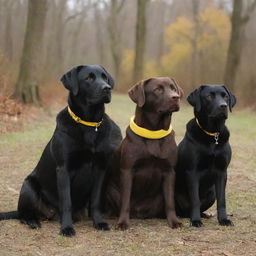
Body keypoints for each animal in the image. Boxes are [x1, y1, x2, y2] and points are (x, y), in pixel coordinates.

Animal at [0, 64, 122, 236]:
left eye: (104, 77)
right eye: (88, 78)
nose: (107, 88)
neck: (89, 123)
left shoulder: (101, 168)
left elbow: (96, 200)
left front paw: (99, 222)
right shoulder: (63, 168)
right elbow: (66, 201)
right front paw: (66, 228)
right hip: (28, 186)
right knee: (24, 214)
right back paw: (32, 221)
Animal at [105, 76, 183, 230]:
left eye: (173, 88)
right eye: (158, 89)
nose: (175, 97)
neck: (153, 131)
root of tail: (138, 212)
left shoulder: (169, 171)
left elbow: (170, 201)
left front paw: (174, 221)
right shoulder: (128, 170)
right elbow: (125, 201)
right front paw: (122, 223)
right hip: (110, 189)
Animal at [176, 85, 236, 227]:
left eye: (225, 96)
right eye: (209, 96)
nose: (223, 106)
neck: (212, 134)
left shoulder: (222, 171)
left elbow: (222, 200)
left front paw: (224, 219)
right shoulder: (192, 171)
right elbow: (195, 200)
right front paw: (195, 221)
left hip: (212, 193)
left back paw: (204, 215)